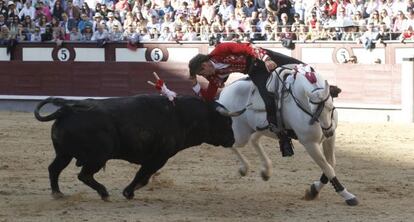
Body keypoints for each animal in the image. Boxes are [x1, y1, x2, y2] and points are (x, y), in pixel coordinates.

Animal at [34, 94, 234, 200]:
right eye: (227, 121)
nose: (232, 140)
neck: (182, 115)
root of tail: (67, 108)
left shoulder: (157, 158)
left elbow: (144, 177)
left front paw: (131, 191)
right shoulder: (159, 156)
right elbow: (142, 175)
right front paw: (128, 192)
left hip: (64, 154)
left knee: (54, 169)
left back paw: (57, 193)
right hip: (98, 156)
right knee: (84, 175)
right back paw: (104, 193)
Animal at [217, 64, 360, 206]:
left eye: (331, 107)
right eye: (314, 111)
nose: (328, 131)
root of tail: (224, 92)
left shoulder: (330, 138)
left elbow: (331, 163)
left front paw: (313, 191)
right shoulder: (310, 144)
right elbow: (328, 168)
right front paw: (347, 195)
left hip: (261, 129)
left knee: (253, 140)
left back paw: (266, 171)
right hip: (241, 134)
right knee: (230, 144)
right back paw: (244, 168)